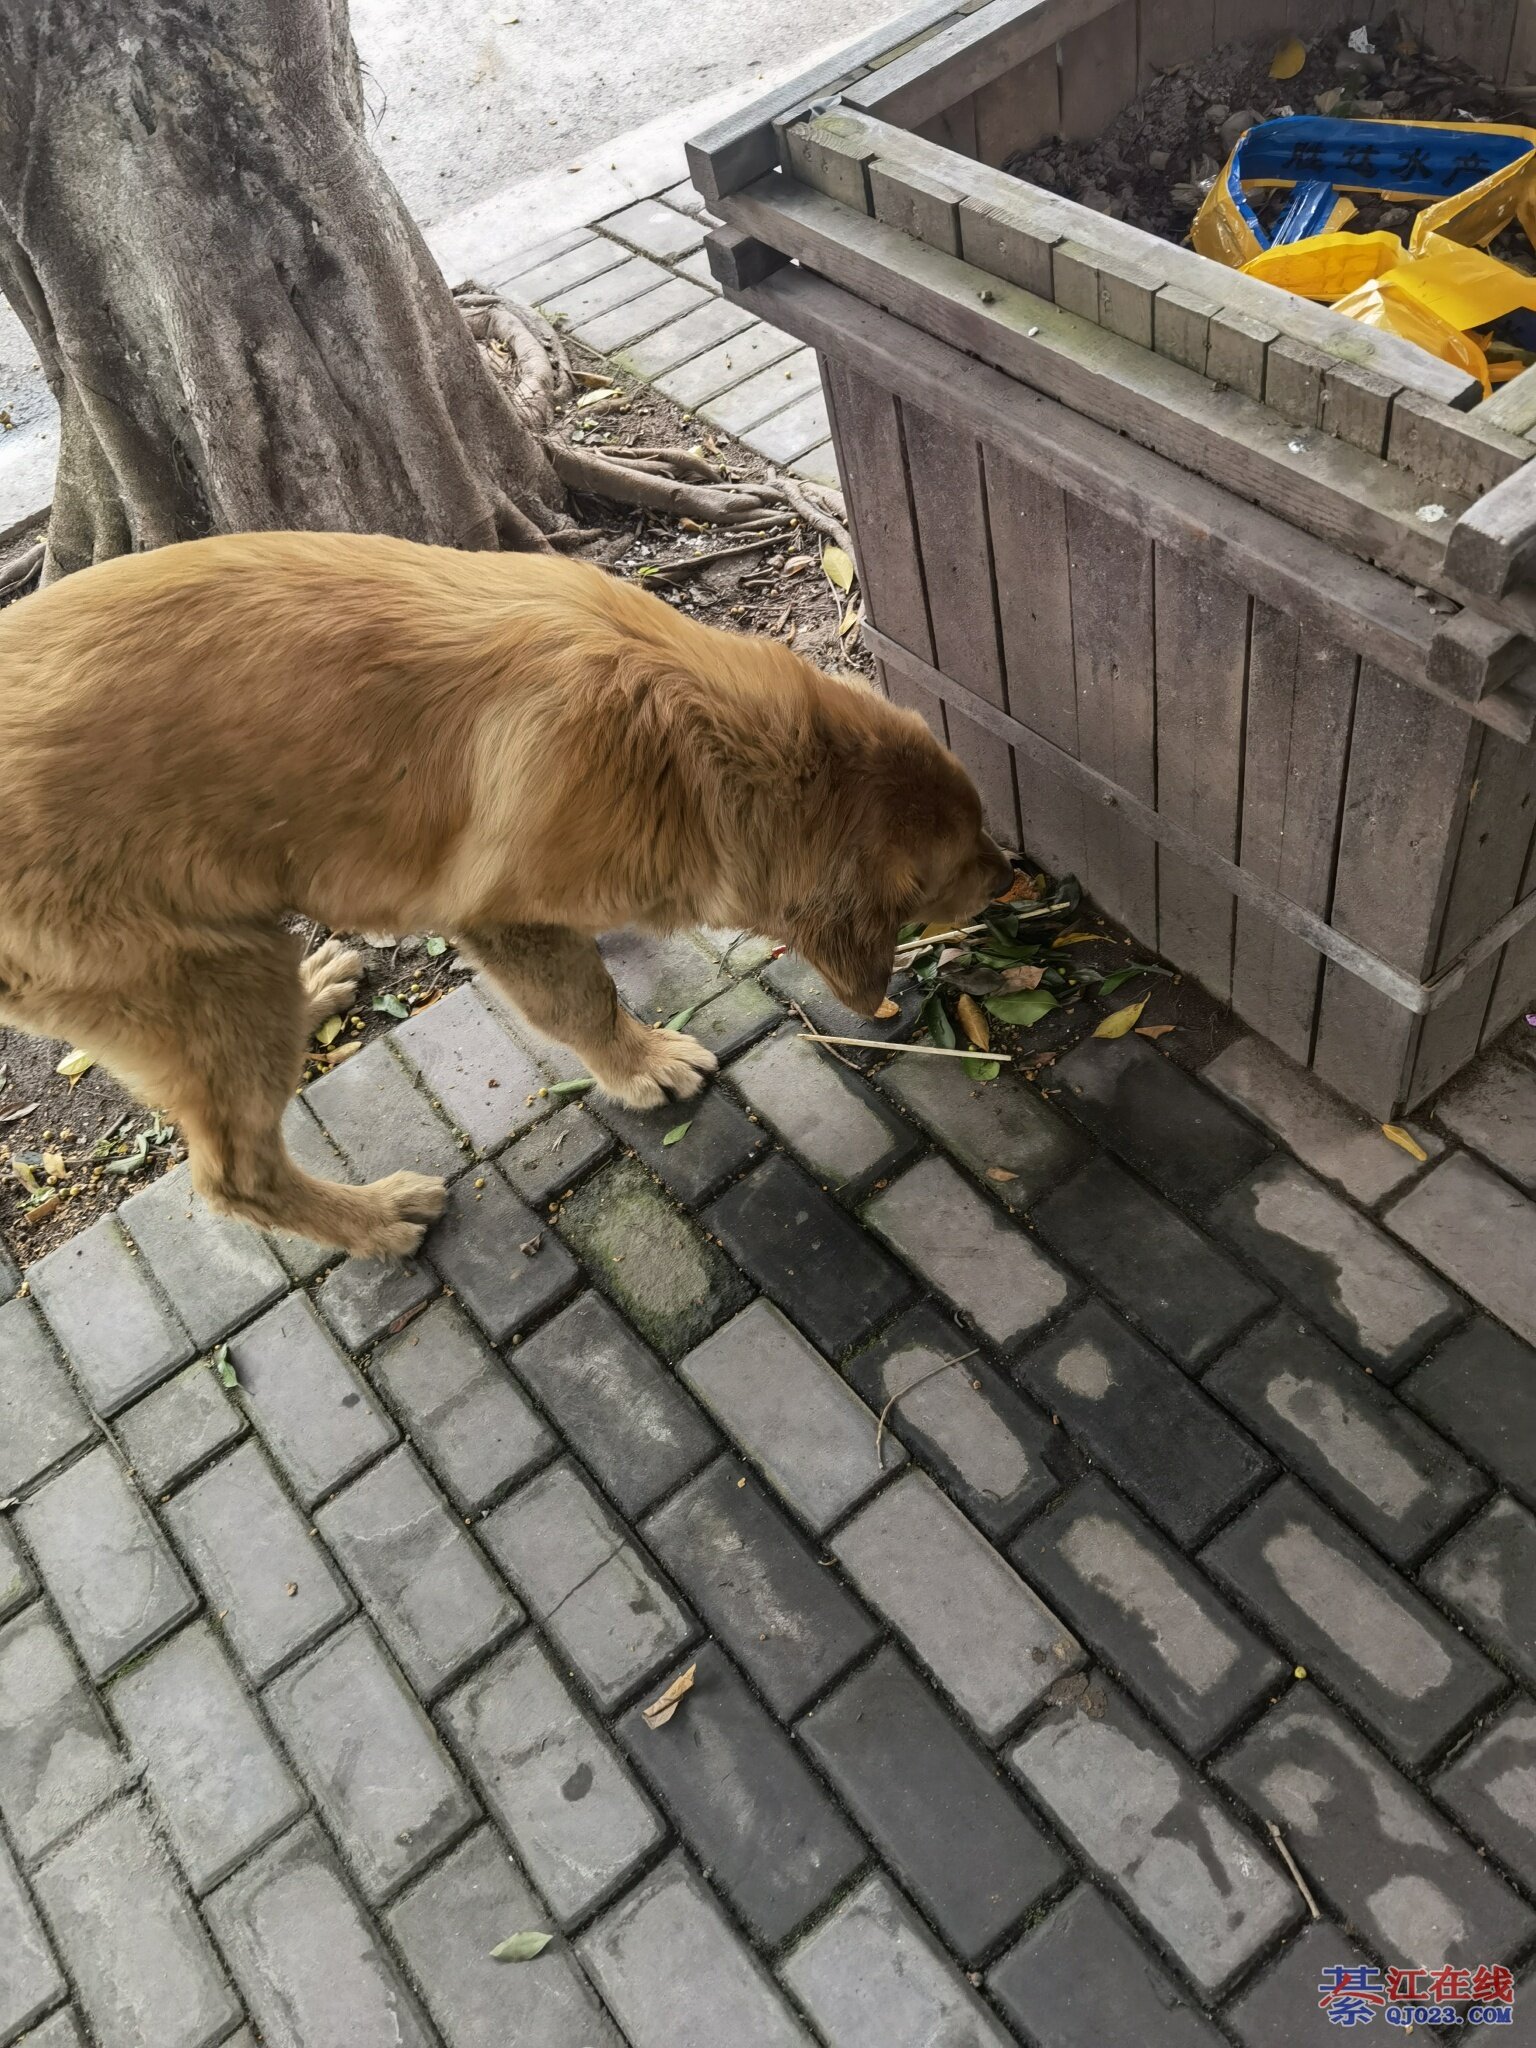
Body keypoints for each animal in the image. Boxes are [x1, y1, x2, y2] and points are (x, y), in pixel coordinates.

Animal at [0, 531, 1012, 1257]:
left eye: (983, 827)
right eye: (955, 864)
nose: (1013, 873)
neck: (683, 732)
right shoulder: (501, 917)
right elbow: (583, 1001)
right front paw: (640, 1063)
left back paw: (318, 989)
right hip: (210, 984)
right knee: (233, 1177)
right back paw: (370, 1221)